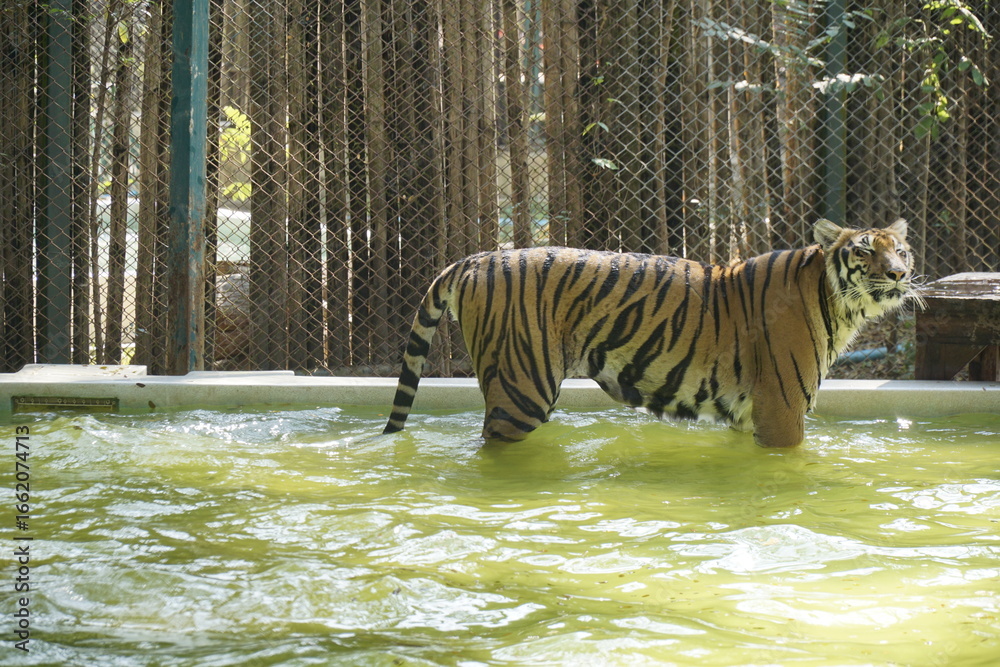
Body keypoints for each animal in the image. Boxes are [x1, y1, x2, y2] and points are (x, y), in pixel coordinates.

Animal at [382, 218, 916, 448]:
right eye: (864, 251)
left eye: (901, 250)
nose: (898, 275)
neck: (839, 306)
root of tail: (475, 258)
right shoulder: (782, 413)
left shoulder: (751, 416)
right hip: (522, 389)